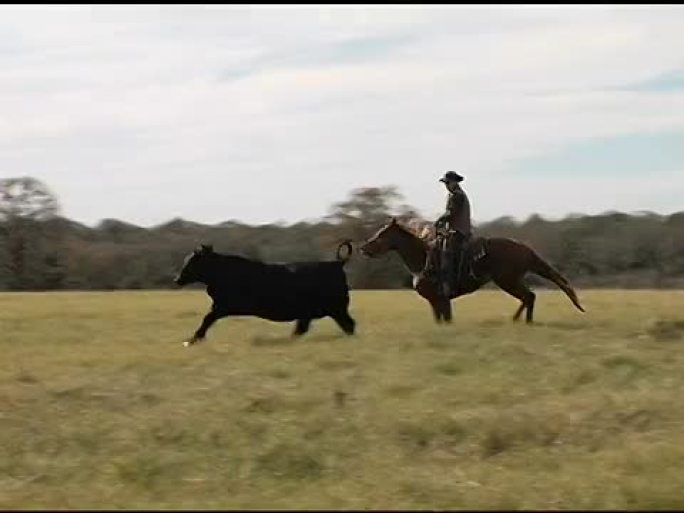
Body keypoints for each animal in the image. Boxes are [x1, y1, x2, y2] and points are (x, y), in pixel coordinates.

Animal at [174, 242, 356, 346]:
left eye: (192, 262)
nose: (177, 279)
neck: (222, 272)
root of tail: (337, 263)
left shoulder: (222, 306)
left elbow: (207, 319)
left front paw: (193, 339)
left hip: (335, 308)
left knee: (349, 325)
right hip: (321, 311)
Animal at [356, 217, 584, 322]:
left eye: (382, 234)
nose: (363, 248)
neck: (423, 260)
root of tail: (526, 249)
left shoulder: (442, 299)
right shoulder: (435, 301)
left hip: (507, 281)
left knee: (529, 297)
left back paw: (521, 321)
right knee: (529, 297)